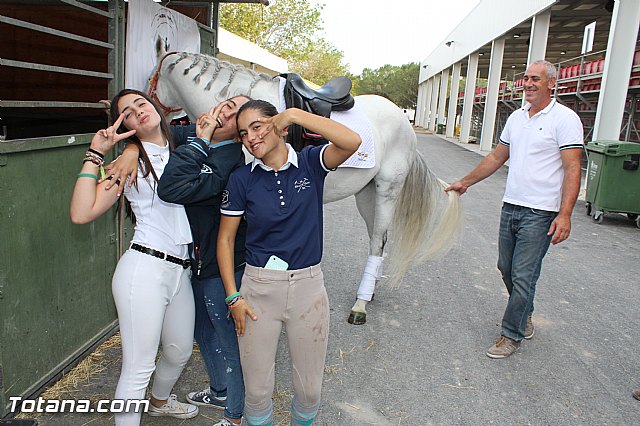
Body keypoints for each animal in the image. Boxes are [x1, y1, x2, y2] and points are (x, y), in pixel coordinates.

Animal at [147, 45, 462, 325]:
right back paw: (369, 292)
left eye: (152, 80)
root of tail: (403, 119)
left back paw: (360, 305)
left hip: (387, 189)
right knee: (378, 237)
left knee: (377, 241)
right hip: (366, 193)